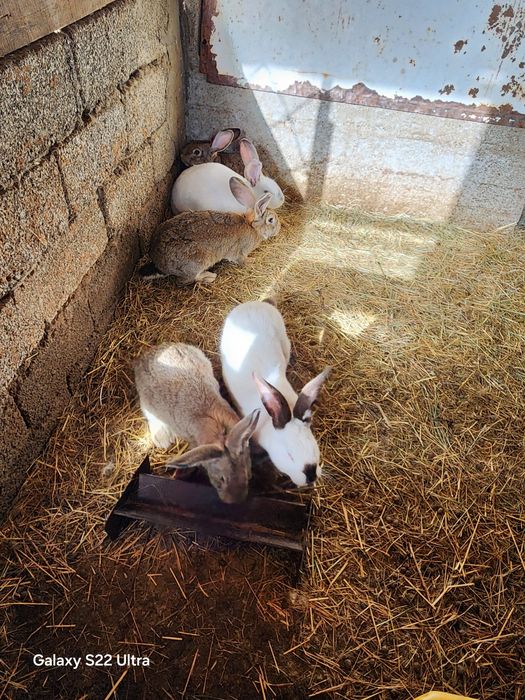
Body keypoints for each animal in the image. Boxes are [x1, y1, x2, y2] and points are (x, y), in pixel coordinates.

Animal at [134, 342, 260, 503]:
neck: (219, 431)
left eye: (246, 472)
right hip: (147, 401)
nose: (236, 501)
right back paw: (162, 438)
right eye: (221, 479)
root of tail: (147, 355)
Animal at [139, 177, 280, 285]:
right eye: (271, 220)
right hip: (197, 262)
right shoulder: (239, 251)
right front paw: (252, 261)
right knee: (186, 280)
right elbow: (241, 260)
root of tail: (158, 264)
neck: (252, 227)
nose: (279, 229)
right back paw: (209, 277)